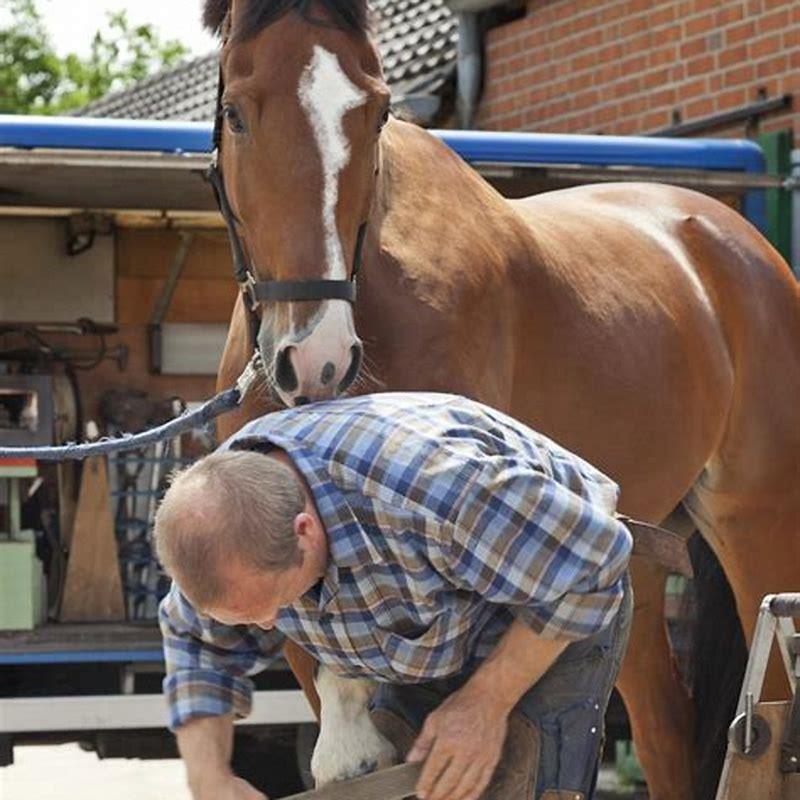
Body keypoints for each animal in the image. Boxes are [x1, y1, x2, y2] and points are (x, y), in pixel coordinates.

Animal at [206, 2, 800, 798]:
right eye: (236, 113)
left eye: (378, 112)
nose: (318, 356)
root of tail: (741, 247)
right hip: (640, 562)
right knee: (666, 737)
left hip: (758, 531)